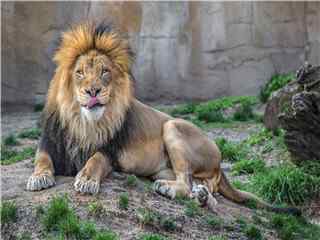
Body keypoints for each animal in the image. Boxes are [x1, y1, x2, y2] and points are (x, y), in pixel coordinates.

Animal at [26, 21, 302, 215]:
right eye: (80, 73)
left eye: (104, 71)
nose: (92, 91)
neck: (83, 122)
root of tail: (221, 162)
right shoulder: (50, 141)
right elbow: (41, 159)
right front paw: (38, 177)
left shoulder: (111, 152)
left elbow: (95, 160)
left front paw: (85, 180)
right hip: (167, 167)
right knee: (203, 189)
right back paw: (202, 195)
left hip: (172, 126)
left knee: (185, 182)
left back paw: (172, 190)